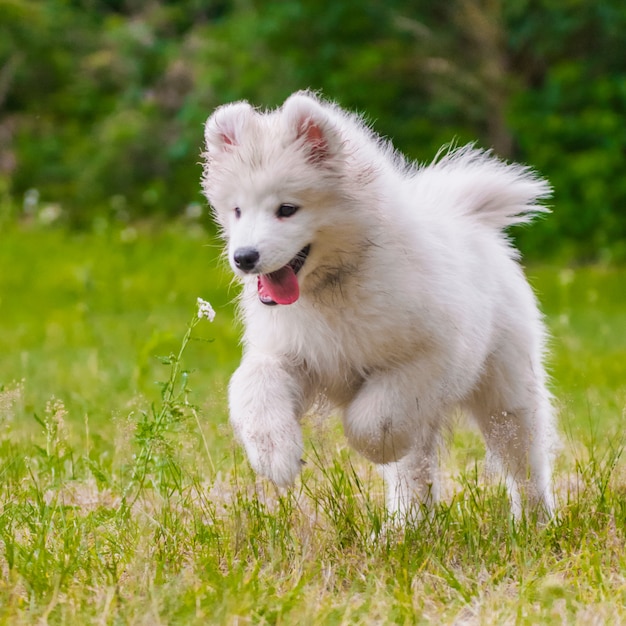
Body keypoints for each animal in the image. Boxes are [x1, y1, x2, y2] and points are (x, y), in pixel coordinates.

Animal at [201, 91, 556, 520]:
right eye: (237, 210)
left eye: (286, 209)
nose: (244, 258)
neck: (334, 284)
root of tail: (465, 216)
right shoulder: (291, 353)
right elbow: (253, 385)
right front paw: (276, 457)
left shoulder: (426, 358)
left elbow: (375, 418)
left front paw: (372, 445)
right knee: (416, 471)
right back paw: (405, 525)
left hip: (506, 389)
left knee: (523, 458)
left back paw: (535, 522)